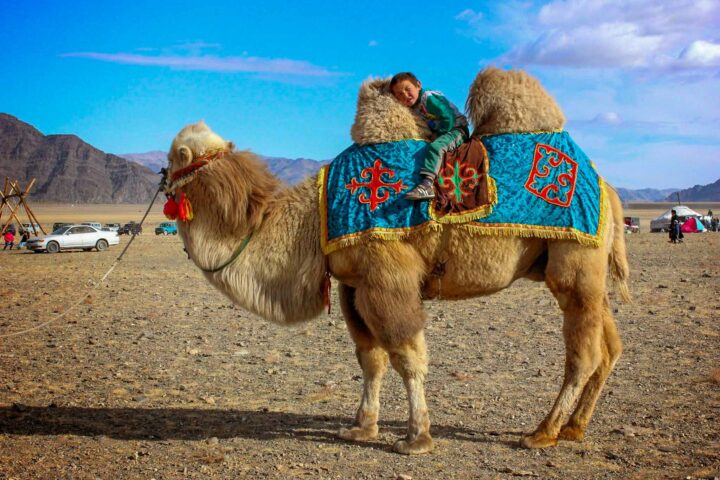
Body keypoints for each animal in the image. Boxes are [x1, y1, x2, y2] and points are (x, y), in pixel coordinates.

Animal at [165, 66, 632, 454]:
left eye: (173, 157)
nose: (163, 183)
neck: (311, 220)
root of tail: (606, 185)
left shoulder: (386, 275)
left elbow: (407, 357)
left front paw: (416, 438)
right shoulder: (353, 285)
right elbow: (371, 358)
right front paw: (362, 428)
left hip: (575, 263)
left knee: (584, 353)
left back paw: (543, 432)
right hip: (589, 273)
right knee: (609, 347)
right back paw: (574, 428)